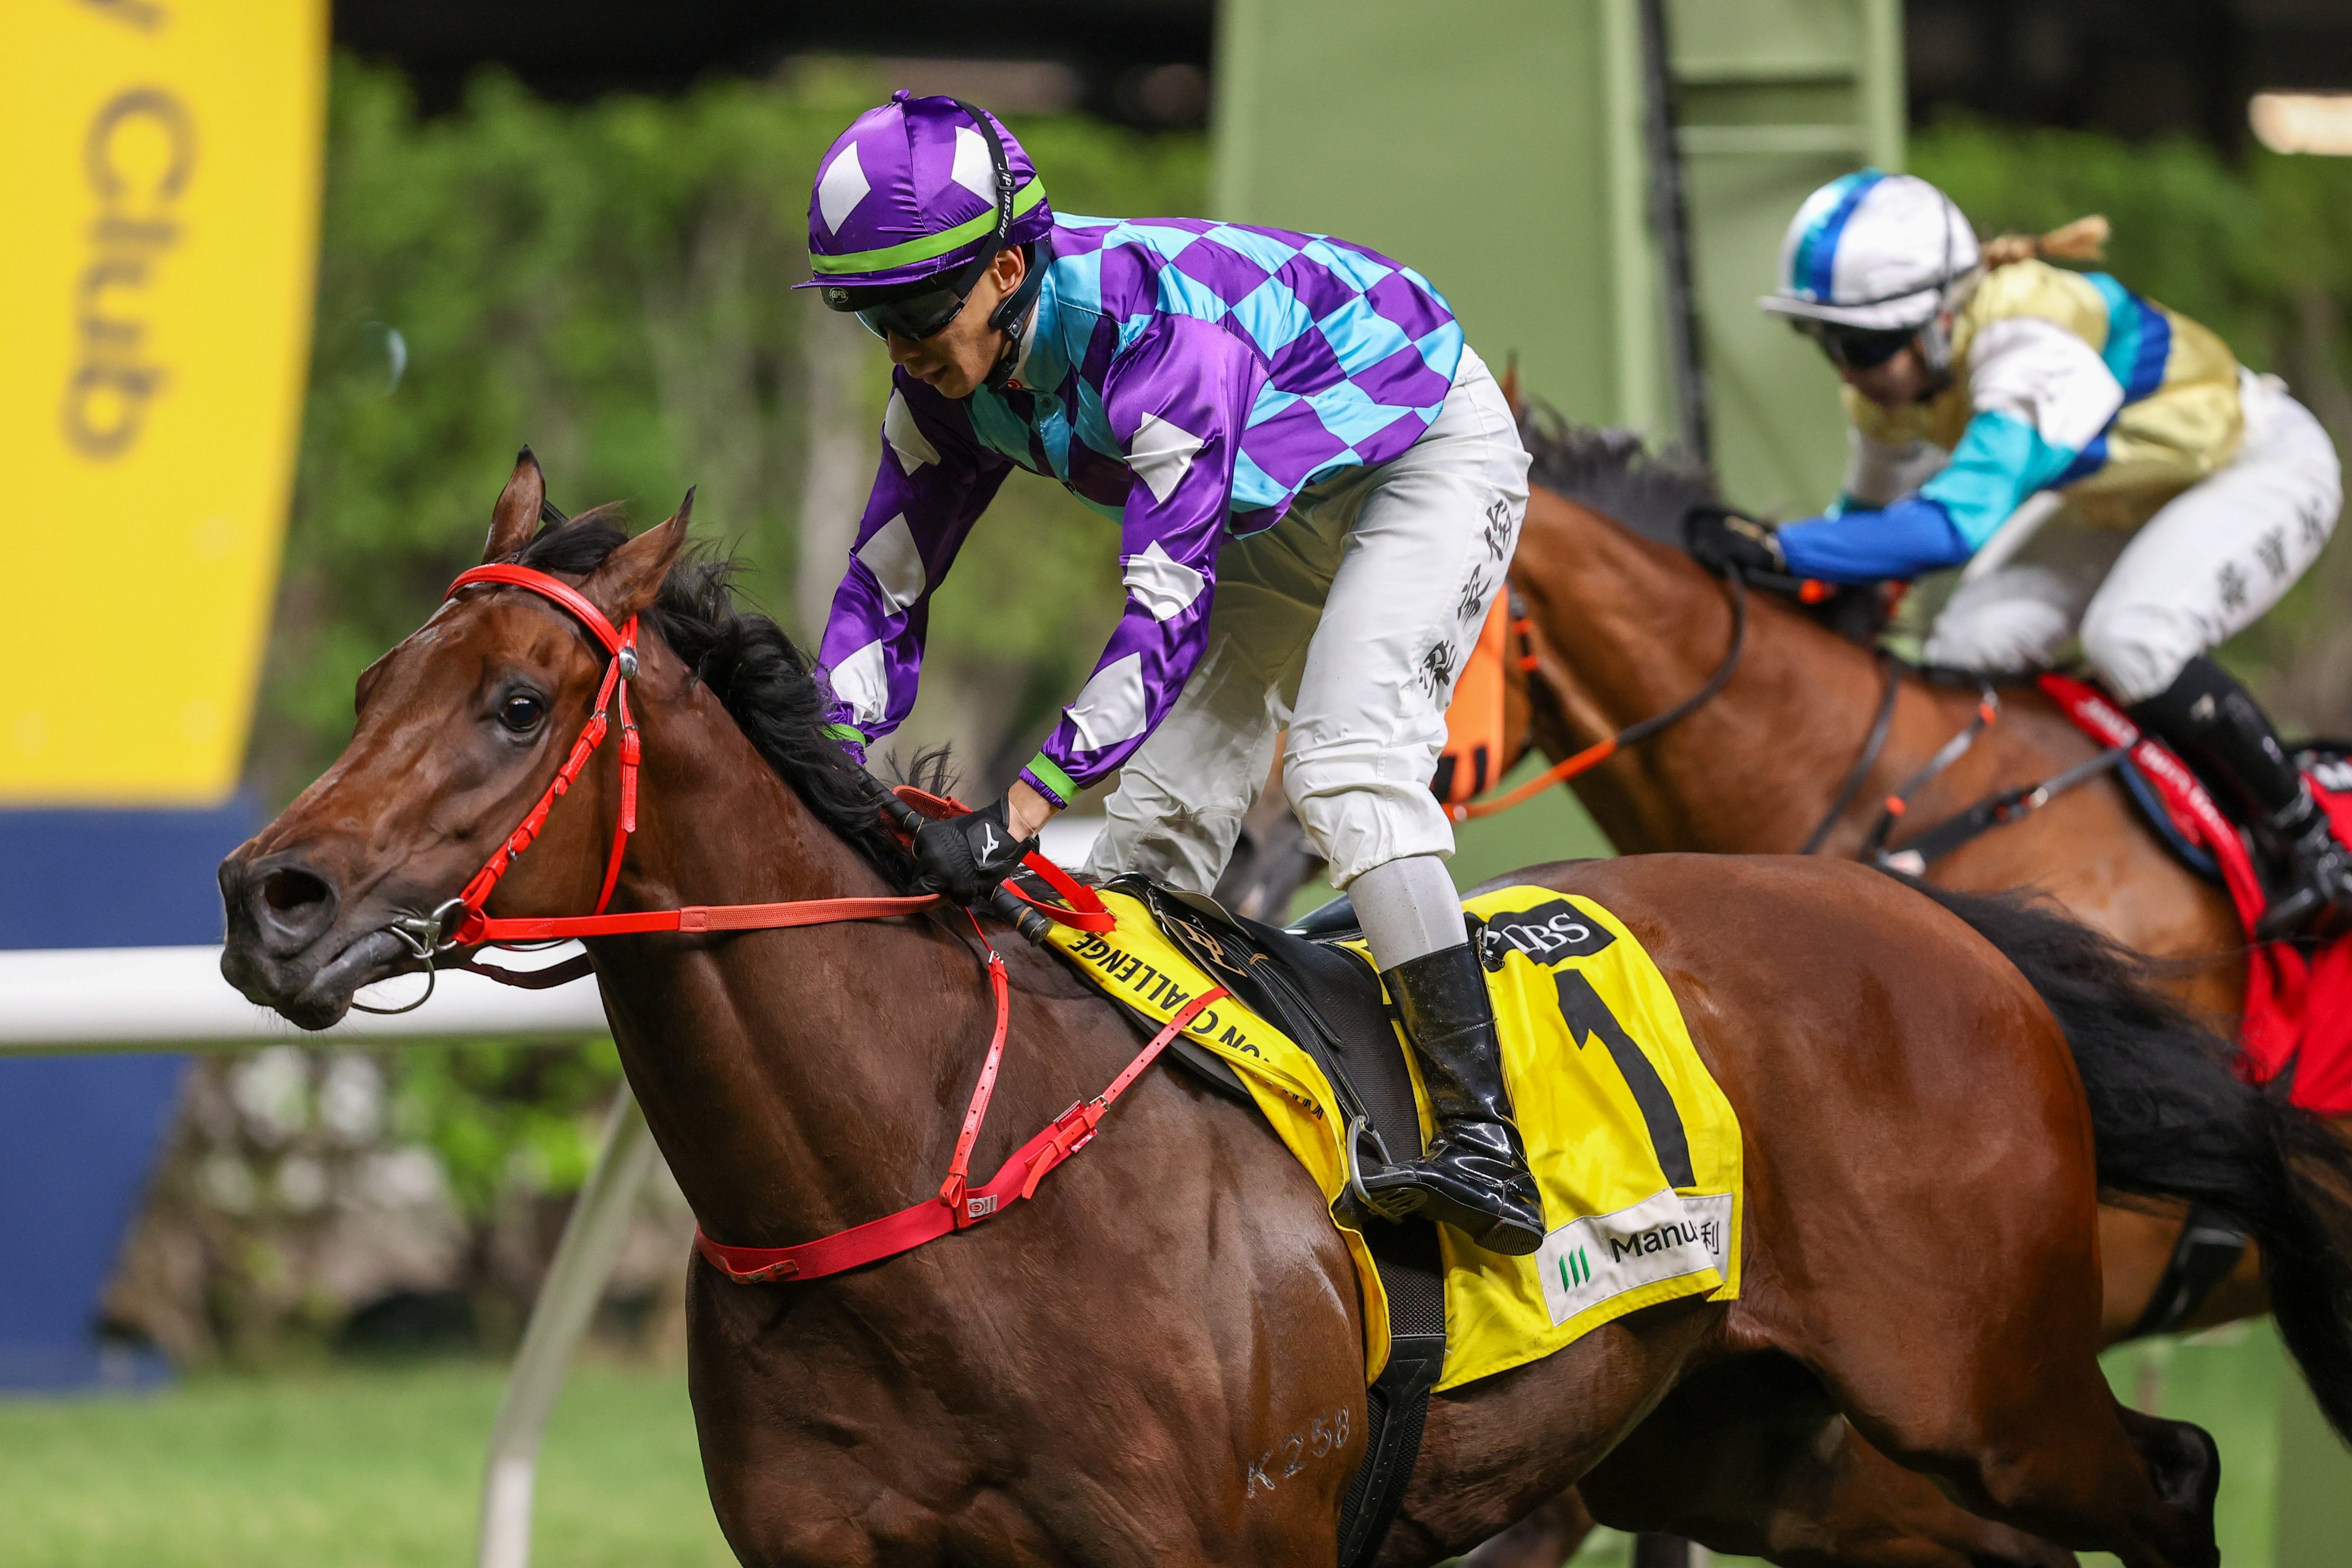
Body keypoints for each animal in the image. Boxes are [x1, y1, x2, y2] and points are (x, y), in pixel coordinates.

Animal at [219, 455, 2352, 1567]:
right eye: (372, 684)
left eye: (516, 704)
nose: (267, 899)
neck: (916, 1169)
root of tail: (1943, 929)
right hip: (1764, 1448)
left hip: (1978, 1391)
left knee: (2170, 1480)